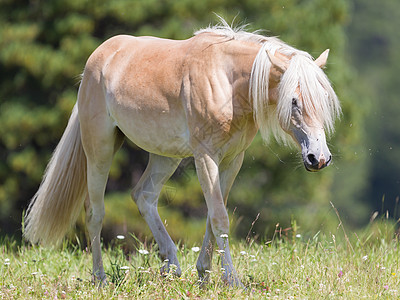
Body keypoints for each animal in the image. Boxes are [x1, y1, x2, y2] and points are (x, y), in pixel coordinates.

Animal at [22, 19, 340, 288]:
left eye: (324, 98)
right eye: (294, 101)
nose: (319, 158)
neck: (226, 82)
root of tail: (95, 62)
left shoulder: (231, 160)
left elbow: (214, 215)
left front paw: (204, 275)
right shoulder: (206, 157)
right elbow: (219, 218)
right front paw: (232, 281)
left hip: (165, 156)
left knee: (144, 196)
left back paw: (171, 266)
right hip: (99, 149)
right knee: (94, 212)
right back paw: (100, 278)